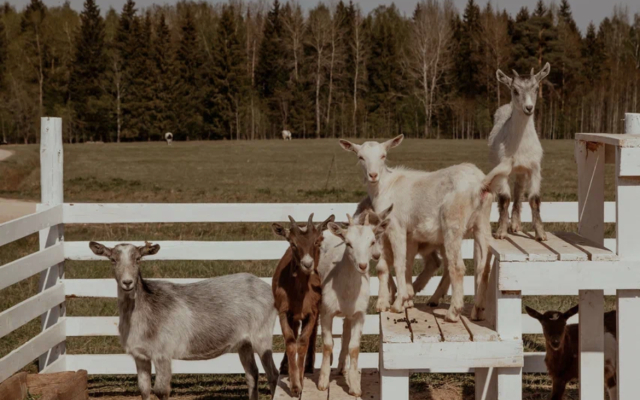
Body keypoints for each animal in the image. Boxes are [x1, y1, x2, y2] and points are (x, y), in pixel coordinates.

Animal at [88, 241, 278, 400]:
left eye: (138, 259)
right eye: (113, 260)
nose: (127, 282)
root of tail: (266, 286)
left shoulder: (162, 353)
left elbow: (161, 391)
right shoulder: (140, 356)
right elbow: (144, 390)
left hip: (262, 335)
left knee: (273, 375)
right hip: (244, 343)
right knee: (252, 374)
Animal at [318, 209, 392, 394]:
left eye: (372, 241)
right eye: (348, 243)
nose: (363, 266)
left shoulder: (360, 314)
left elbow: (354, 347)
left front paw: (355, 386)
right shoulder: (326, 312)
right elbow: (327, 344)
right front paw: (322, 382)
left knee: (345, 331)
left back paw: (341, 368)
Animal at [340, 135, 510, 322]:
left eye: (383, 155)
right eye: (360, 157)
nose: (373, 175)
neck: (386, 186)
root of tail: (481, 184)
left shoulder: (395, 226)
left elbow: (399, 263)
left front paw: (397, 303)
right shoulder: (405, 234)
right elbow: (398, 264)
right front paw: (397, 300)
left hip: (452, 223)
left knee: (457, 267)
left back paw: (453, 312)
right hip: (482, 221)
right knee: (483, 267)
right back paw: (477, 310)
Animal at [490, 62, 552, 241]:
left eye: (536, 88)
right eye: (515, 90)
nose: (528, 108)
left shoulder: (534, 167)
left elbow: (534, 199)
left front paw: (541, 233)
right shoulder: (502, 167)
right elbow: (504, 199)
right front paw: (501, 231)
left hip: (521, 172)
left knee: (518, 193)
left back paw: (516, 224)